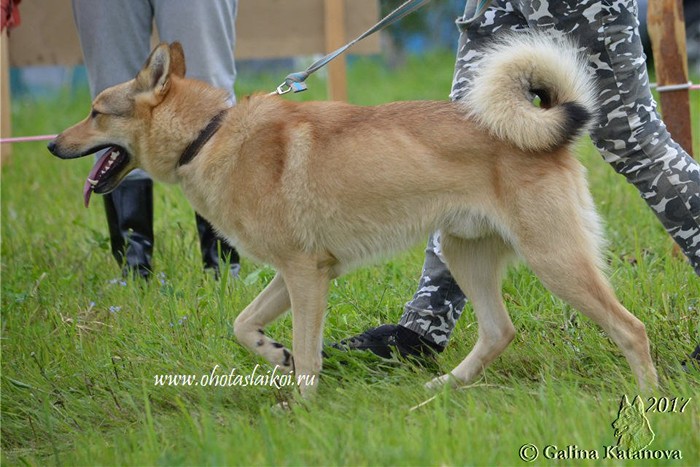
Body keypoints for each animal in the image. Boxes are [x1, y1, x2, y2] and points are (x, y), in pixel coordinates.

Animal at [48, 34, 658, 397]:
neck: (210, 134)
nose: (53, 144)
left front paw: (299, 407)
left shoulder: (304, 276)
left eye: (96, 112)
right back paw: (441, 389)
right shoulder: (299, 273)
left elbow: (308, 356)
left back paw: (648, 402)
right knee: (498, 331)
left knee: (630, 329)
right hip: (464, 254)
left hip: (555, 261)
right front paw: (276, 355)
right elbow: (245, 326)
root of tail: (548, 130)